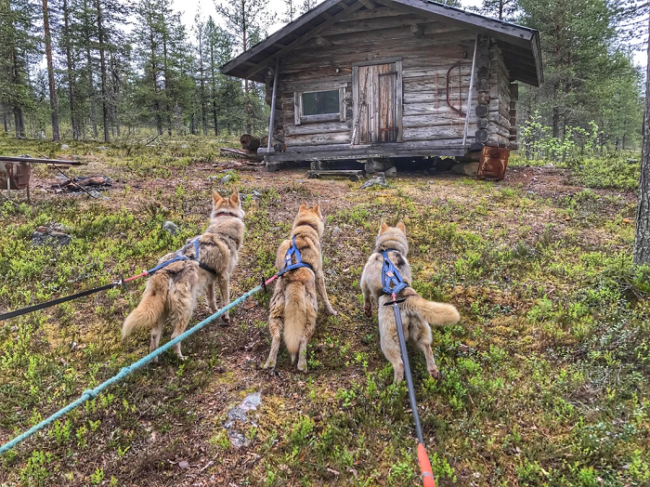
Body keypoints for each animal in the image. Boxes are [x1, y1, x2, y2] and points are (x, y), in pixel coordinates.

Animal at [121, 191, 243, 362]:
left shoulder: (209, 281)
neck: (221, 231)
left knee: (154, 335)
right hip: (187, 309)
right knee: (174, 337)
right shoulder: (224, 277)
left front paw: (215, 312)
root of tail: (164, 272)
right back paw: (181, 358)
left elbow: (212, 300)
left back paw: (154, 360)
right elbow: (226, 301)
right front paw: (225, 317)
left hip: (162, 312)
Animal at [262, 204, 334, 372]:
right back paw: (302, 364)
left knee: (276, 338)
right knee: (302, 340)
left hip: (275, 315)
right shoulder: (319, 274)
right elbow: (325, 296)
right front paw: (331, 310)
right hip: (310, 317)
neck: (303, 231)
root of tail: (295, 281)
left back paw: (270, 363)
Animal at [356, 222, 458, 386]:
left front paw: (367, 310)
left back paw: (395, 387)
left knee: (399, 364)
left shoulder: (364, 282)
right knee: (427, 347)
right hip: (420, 333)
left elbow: (366, 298)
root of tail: (406, 300)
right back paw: (433, 371)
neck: (390, 249)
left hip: (389, 342)